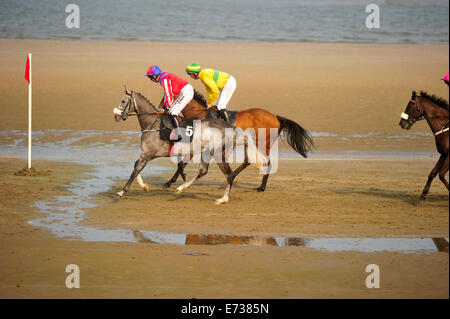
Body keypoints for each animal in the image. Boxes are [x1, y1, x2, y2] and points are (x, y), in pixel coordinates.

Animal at [112, 87, 270, 205]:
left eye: (123, 101)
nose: (116, 116)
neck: (153, 124)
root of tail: (232, 128)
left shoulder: (148, 154)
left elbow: (136, 169)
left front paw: (121, 192)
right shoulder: (148, 154)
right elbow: (136, 166)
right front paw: (144, 186)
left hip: (219, 154)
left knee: (229, 174)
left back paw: (223, 199)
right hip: (207, 153)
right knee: (203, 171)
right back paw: (181, 188)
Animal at [136, 90, 312, 192]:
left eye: (166, 98)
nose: (160, 109)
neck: (199, 116)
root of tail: (276, 116)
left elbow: (182, 163)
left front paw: (172, 181)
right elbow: (182, 164)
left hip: (263, 143)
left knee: (265, 162)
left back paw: (261, 187)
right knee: (248, 161)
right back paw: (230, 179)